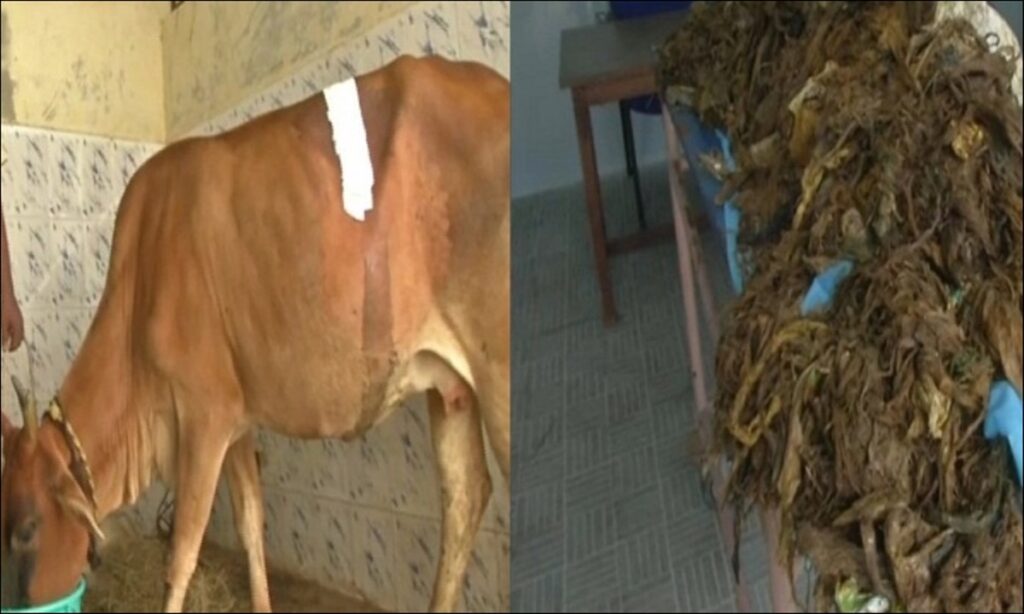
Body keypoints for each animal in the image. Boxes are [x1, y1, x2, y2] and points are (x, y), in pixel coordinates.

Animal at [0, 54, 510, 613]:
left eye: (25, 529)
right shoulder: (238, 420)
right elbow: (249, 524)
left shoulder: (205, 414)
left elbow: (183, 551)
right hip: (452, 386)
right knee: (466, 496)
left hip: (499, 369)